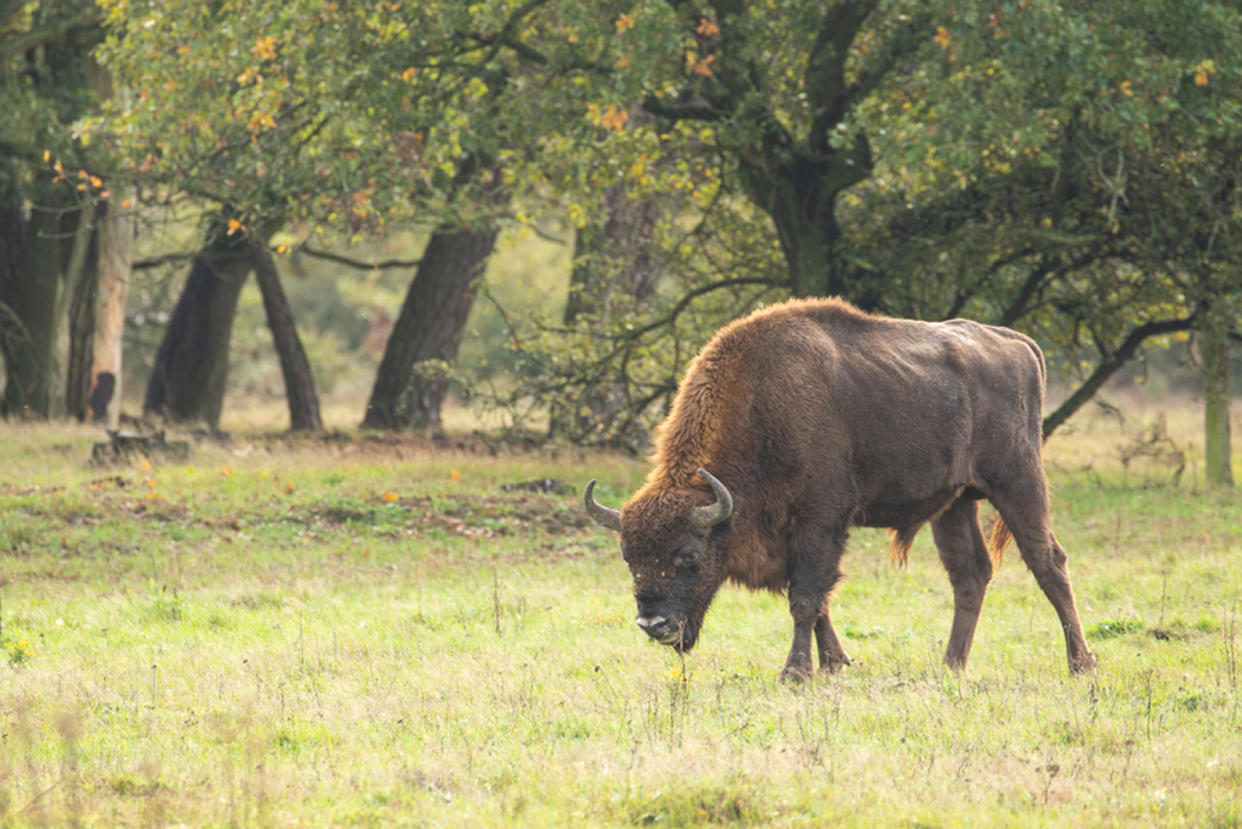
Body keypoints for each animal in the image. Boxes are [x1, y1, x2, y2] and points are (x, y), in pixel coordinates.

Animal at [581, 298, 1097, 681]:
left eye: (689, 555)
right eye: (628, 556)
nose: (654, 625)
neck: (762, 405)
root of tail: (1017, 342)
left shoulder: (820, 521)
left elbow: (806, 597)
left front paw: (796, 673)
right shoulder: (797, 536)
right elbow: (818, 600)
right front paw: (834, 664)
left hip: (1019, 481)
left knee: (1049, 561)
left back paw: (1080, 664)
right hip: (954, 503)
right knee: (970, 575)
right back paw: (950, 666)